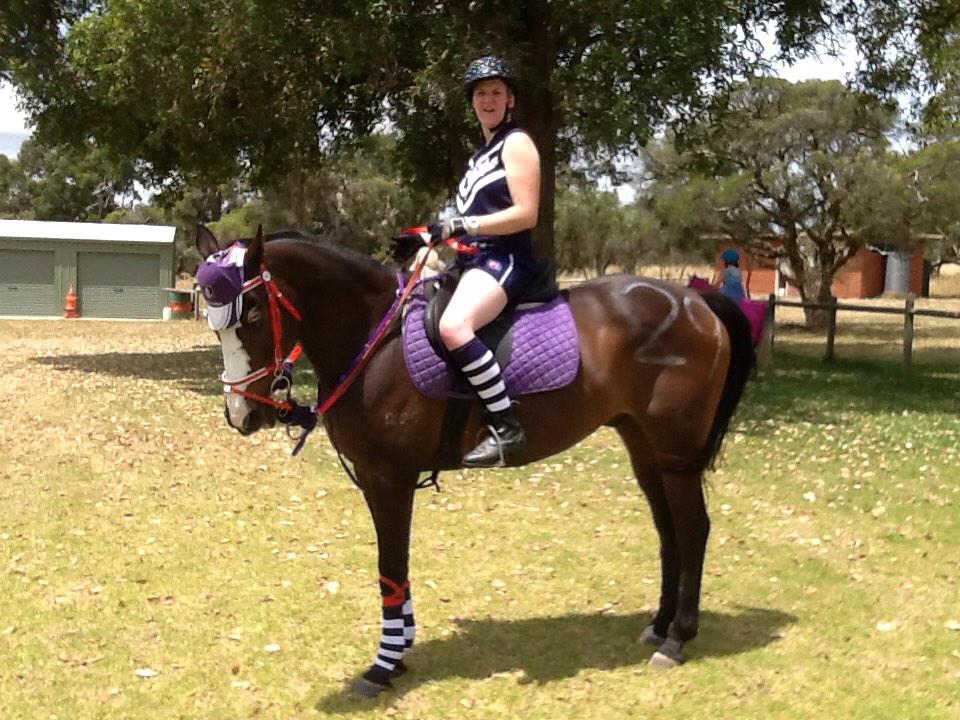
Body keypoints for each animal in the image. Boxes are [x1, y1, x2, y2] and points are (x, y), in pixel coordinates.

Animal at [194, 225, 754, 697]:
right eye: (214, 325)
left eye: (253, 317)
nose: (241, 415)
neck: (374, 338)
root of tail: (693, 300)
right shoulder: (381, 482)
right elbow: (396, 569)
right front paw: (400, 651)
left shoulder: (390, 479)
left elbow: (390, 566)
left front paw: (383, 665)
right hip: (644, 448)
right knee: (668, 531)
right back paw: (658, 626)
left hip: (675, 455)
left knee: (694, 529)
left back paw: (677, 638)